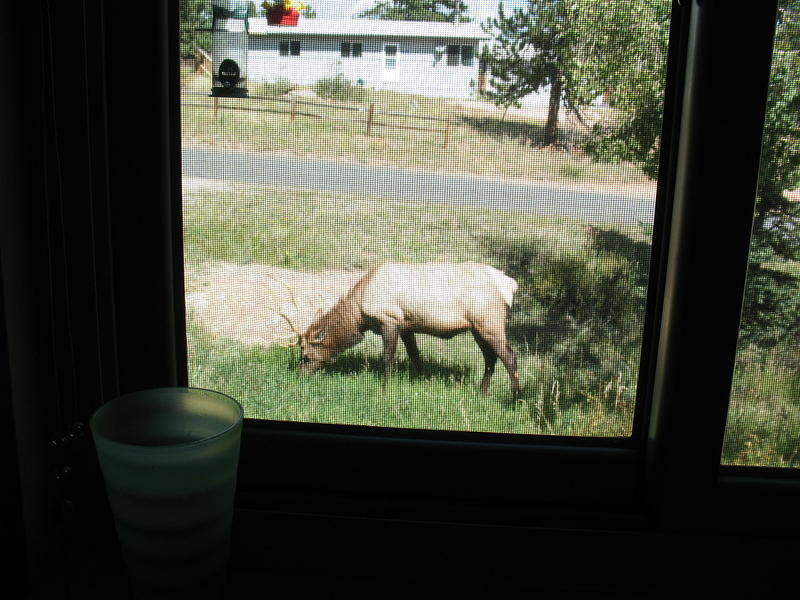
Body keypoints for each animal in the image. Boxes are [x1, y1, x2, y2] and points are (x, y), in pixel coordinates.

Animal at [284, 262, 520, 398]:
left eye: (305, 356)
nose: (298, 375)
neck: (359, 314)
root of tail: (510, 285)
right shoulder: (407, 326)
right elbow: (415, 356)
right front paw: (424, 380)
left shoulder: (390, 321)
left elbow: (388, 359)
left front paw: (385, 389)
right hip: (477, 328)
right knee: (490, 358)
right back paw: (482, 392)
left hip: (489, 322)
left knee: (509, 356)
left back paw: (516, 396)